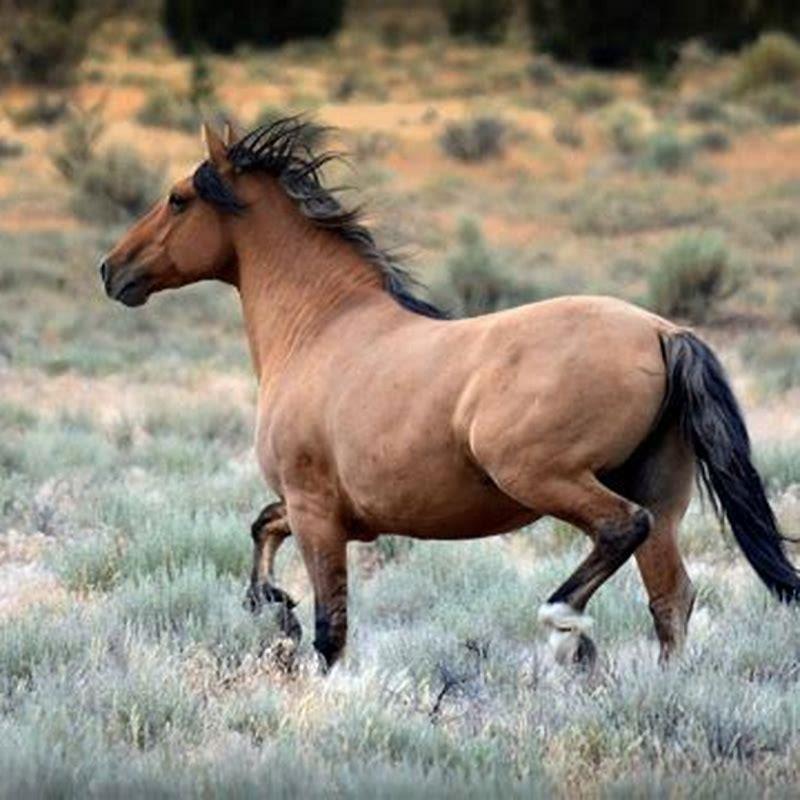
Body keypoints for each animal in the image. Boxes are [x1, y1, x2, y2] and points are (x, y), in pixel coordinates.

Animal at [99, 118, 799, 670]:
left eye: (178, 198)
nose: (112, 270)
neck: (321, 326)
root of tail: (661, 330)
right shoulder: (320, 510)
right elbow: (261, 529)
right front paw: (274, 605)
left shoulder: (315, 510)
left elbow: (331, 631)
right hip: (658, 492)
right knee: (670, 601)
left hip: (543, 476)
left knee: (622, 530)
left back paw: (563, 626)